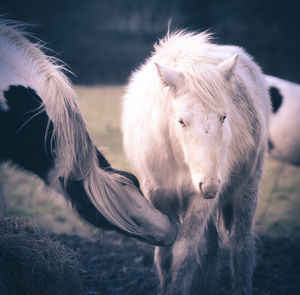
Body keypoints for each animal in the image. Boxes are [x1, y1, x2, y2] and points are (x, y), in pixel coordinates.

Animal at [120, 31, 270, 294]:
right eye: (181, 121)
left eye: (223, 117)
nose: (210, 187)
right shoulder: (158, 197)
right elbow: (164, 255)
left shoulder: (199, 202)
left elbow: (184, 254)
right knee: (211, 246)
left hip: (247, 187)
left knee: (241, 244)